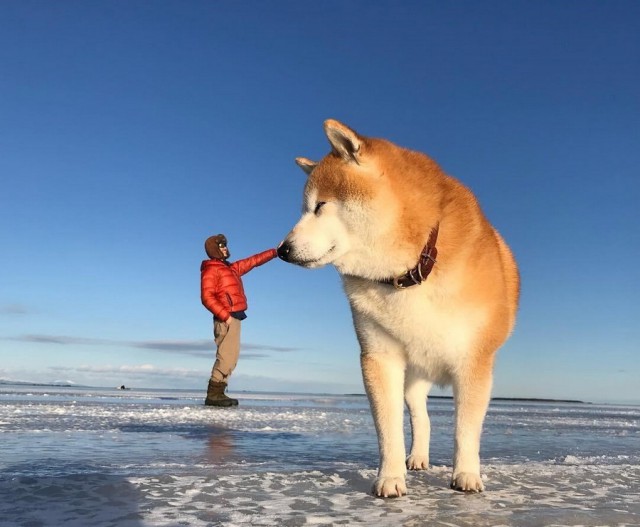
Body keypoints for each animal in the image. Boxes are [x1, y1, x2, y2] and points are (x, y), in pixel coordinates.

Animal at [278, 119, 520, 500]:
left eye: (320, 206)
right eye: (307, 207)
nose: (281, 250)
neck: (412, 273)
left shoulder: (473, 359)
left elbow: (465, 429)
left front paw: (467, 475)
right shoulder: (380, 356)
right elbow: (388, 427)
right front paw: (390, 478)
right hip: (412, 376)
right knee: (421, 418)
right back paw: (417, 457)